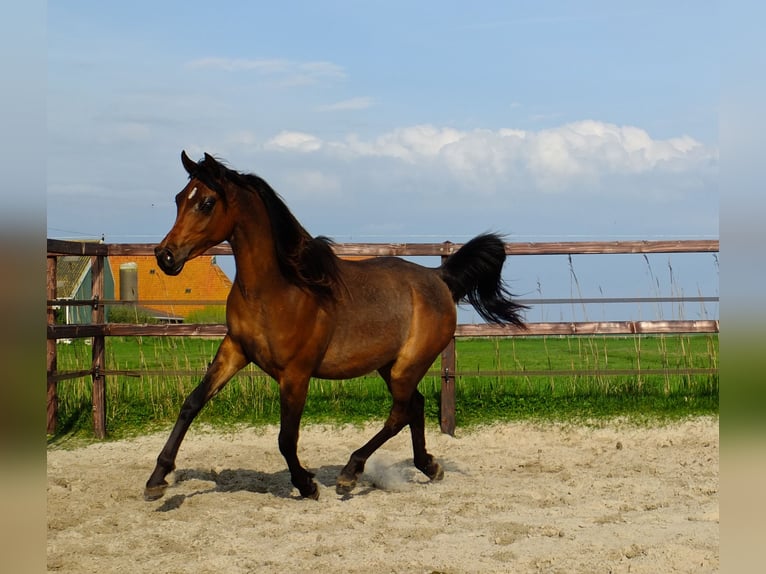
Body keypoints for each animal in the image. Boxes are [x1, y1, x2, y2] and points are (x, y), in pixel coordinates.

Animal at [144, 153, 528, 504]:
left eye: (207, 202)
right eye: (179, 198)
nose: (165, 256)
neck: (279, 289)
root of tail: (439, 277)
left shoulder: (296, 374)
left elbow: (286, 438)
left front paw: (307, 484)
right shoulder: (235, 349)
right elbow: (192, 403)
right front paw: (157, 479)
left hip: (408, 365)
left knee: (400, 413)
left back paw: (350, 473)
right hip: (389, 365)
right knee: (414, 407)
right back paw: (428, 467)